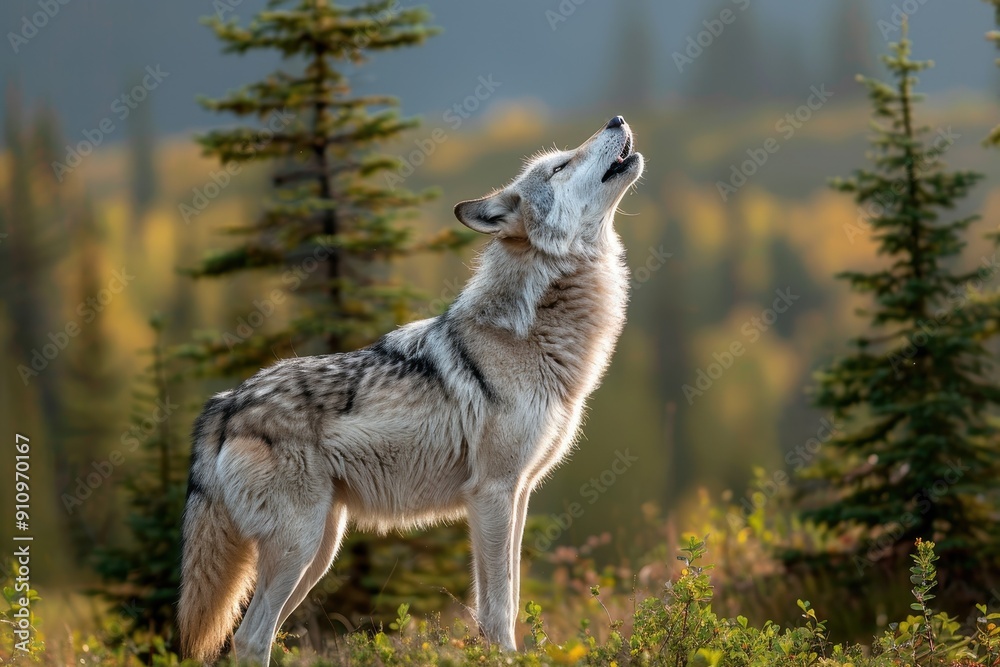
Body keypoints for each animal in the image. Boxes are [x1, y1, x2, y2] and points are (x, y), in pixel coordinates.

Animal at [178, 116, 644, 663]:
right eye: (561, 166)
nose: (616, 119)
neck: (528, 333)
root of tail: (226, 403)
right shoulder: (491, 493)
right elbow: (500, 607)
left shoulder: (519, 493)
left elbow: (503, 597)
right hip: (300, 547)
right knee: (250, 637)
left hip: (319, 552)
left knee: (255, 635)